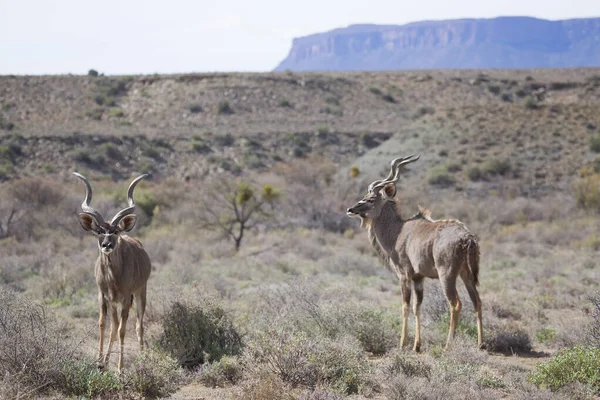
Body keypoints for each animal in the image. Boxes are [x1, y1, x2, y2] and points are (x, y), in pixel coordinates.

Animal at [74, 173, 152, 374]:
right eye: (99, 232)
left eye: (116, 231)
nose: (107, 245)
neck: (112, 278)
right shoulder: (103, 295)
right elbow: (104, 325)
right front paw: (99, 362)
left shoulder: (125, 297)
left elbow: (122, 330)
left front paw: (120, 369)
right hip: (115, 302)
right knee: (115, 326)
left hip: (140, 292)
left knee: (138, 324)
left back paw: (142, 357)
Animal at [346, 155, 482, 350]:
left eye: (371, 199)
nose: (350, 209)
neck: (398, 231)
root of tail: (467, 238)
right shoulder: (419, 278)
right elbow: (418, 307)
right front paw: (416, 345)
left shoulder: (404, 276)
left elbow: (405, 306)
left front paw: (402, 344)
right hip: (466, 275)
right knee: (477, 301)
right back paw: (481, 344)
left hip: (447, 276)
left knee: (456, 304)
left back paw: (448, 345)